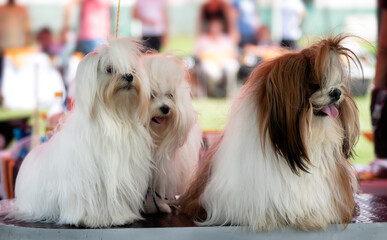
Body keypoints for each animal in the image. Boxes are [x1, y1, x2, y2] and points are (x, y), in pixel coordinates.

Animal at [11, 37, 153, 227]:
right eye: (109, 69)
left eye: (132, 69)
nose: (129, 76)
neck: (114, 118)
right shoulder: (84, 180)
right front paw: (86, 218)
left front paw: (120, 217)